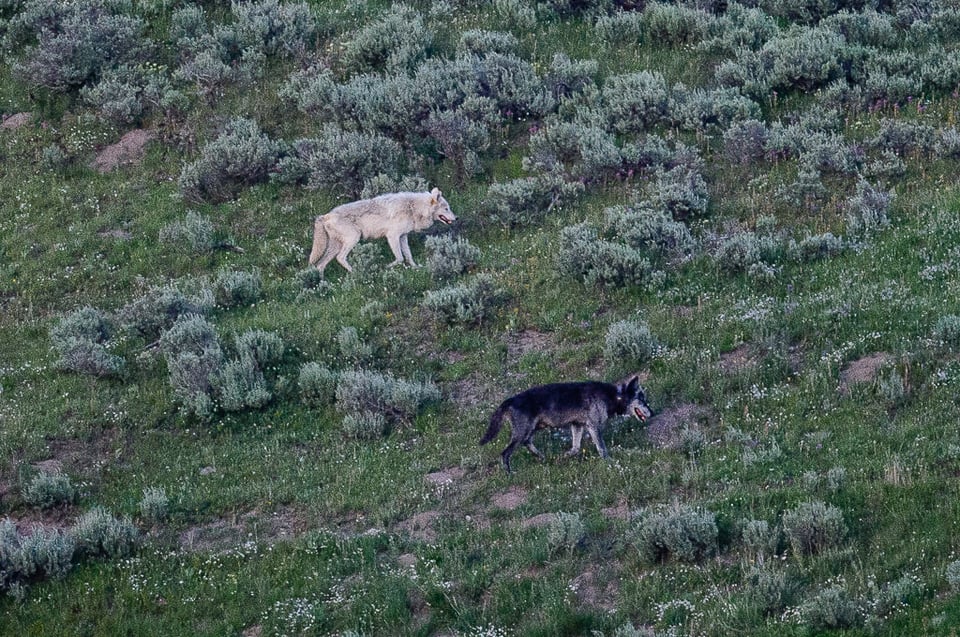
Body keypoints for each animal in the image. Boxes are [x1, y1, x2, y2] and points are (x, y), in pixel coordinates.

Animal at [308, 188, 458, 274]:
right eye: (446, 208)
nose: (456, 218)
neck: (413, 208)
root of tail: (325, 216)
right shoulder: (392, 236)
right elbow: (399, 258)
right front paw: (386, 267)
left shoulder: (403, 236)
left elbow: (408, 256)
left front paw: (416, 267)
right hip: (353, 239)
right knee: (340, 258)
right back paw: (358, 273)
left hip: (336, 246)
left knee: (320, 265)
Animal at [480, 376, 652, 470]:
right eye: (642, 399)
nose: (653, 412)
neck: (613, 396)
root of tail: (510, 400)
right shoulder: (593, 426)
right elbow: (602, 449)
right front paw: (609, 463)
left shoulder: (577, 425)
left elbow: (575, 448)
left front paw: (562, 457)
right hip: (523, 432)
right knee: (505, 453)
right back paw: (510, 473)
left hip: (532, 429)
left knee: (527, 443)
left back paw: (542, 457)